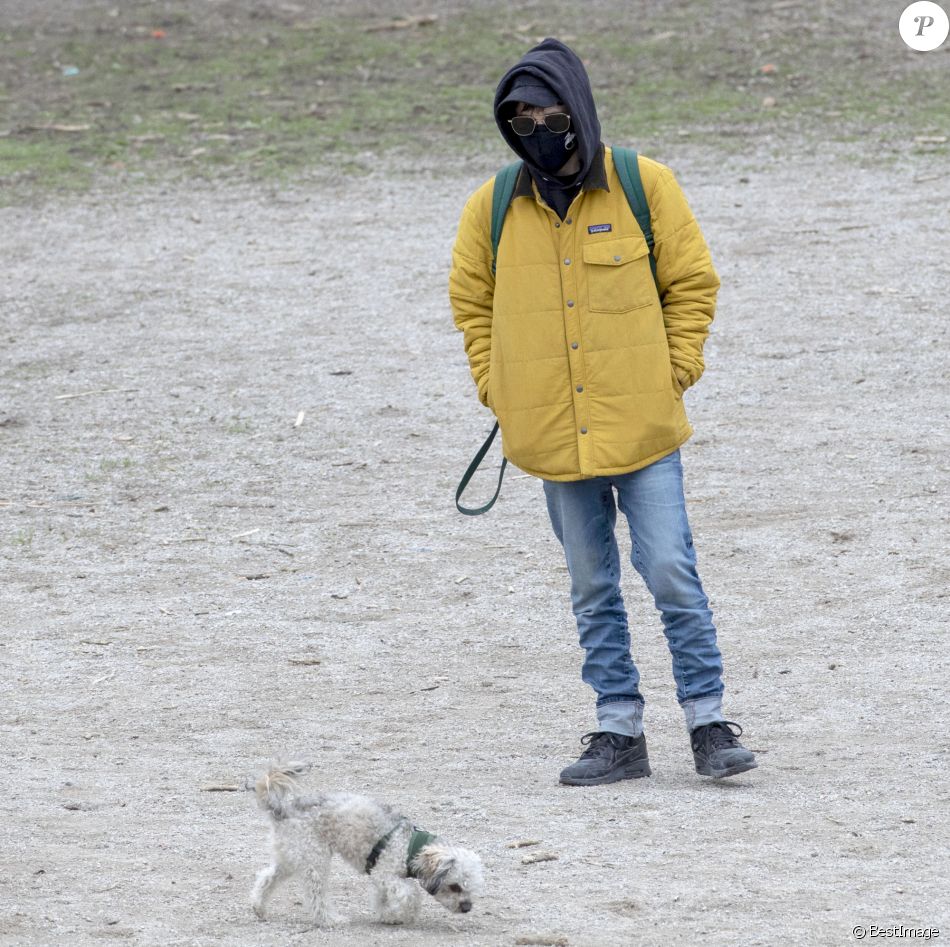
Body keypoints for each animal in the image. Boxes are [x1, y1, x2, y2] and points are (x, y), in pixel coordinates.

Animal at [249, 764, 484, 924]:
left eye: (471, 888)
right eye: (454, 886)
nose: (467, 908)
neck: (410, 847)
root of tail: (283, 810)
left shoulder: (382, 880)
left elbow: (383, 899)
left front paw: (388, 916)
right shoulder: (386, 874)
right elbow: (411, 895)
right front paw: (401, 914)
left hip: (290, 859)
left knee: (266, 878)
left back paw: (259, 908)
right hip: (315, 862)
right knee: (316, 897)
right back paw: (330, 919)